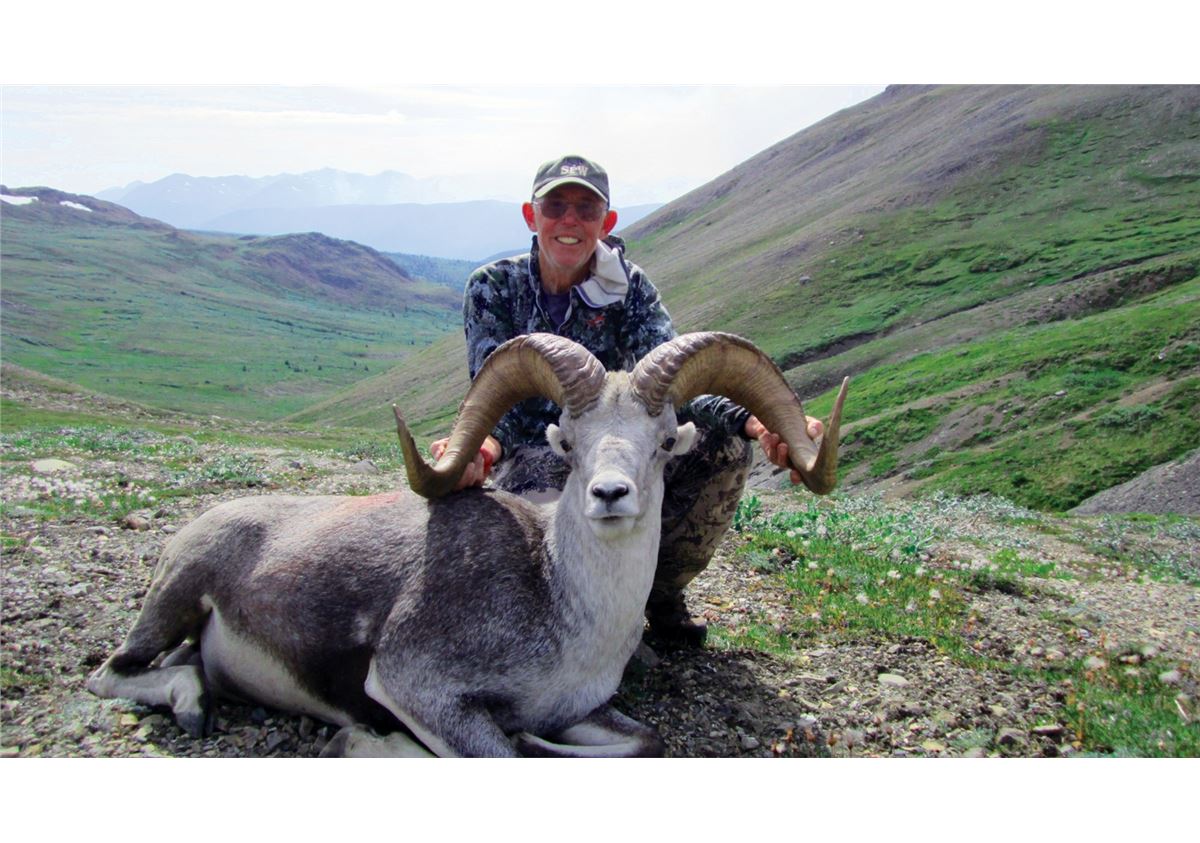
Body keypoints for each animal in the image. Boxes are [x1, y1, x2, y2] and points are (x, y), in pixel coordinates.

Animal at [86, 332, 848, 757]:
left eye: (665, 443)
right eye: (568, 442)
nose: (610, 495)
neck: (564, 608)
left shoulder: (586, 713)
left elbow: (646, 741)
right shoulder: (416, 687)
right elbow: (502, 755)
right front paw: (365, 741)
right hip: (174, 599)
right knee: (113, 674)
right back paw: (190, 705)